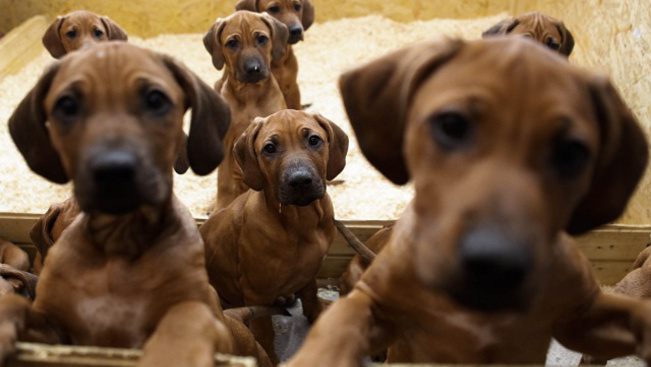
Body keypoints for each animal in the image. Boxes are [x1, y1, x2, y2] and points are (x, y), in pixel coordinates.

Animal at [0, 41, 272, 367]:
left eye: (155, 100)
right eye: (67, 106)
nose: (113, 170)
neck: (120, 242)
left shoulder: (206, 315)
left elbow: (188, 315)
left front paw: (172, 353)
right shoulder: (56, 332)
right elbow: (16, 307)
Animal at [201, 10, 288, 210]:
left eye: (262, 39)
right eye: (232, 43)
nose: (253, 69)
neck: (250, 93)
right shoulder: (226, 143)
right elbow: (223, 182)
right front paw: (221, 207)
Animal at [201, 110, 348, 366]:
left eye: (314, 140)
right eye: (269, 148)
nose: (300, 181)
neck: (300, 221)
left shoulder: (310, 270)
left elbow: (310, 294)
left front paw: (317, 313)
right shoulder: (255, 292)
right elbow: (264, 332)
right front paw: (270, 356)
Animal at [286, 36, 651, 366]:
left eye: (572, 152)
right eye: (451, 125)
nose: (495, 265)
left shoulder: (582, 318)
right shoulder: (376, 303)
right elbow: (343, 323)